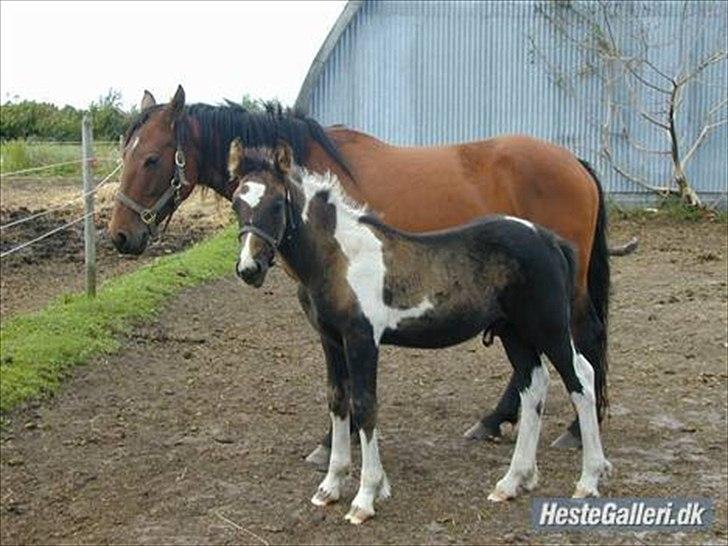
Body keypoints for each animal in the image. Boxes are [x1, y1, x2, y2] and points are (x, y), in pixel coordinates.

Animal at [108, 85, 608, 460]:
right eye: (123, 155)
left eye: (151, 159)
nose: (120, 236)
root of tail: (574, 163)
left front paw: (333, 441)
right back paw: (495, 420)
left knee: (585, 339)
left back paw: (578, 428)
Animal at [229, 140, 616, 524]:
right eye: (236, 203)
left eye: (277, 204)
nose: (249, 268)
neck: (340, 258)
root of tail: (550, 240)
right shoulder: (331, 340)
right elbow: (338, 402)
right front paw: (330, 486)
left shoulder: (362, 340)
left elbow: (364, 406)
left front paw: (366, 497)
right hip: (515, 333)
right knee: (533, 386)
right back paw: (512, 482)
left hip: (549, 327)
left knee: (581, 378)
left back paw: (588, 479)